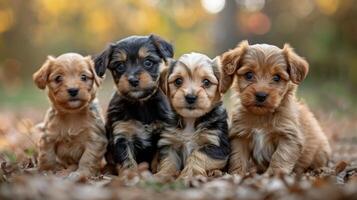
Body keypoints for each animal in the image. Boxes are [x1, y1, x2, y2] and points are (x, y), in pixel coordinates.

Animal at [94, 34, 173, 173]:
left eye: (148, 62)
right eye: (120, 66)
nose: (133, 80)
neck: (140, 103)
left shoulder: (163, 132)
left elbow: (158, 158)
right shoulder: (122, 135)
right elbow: (128, 161)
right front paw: (132, 175)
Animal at [220, 41, 330, 175]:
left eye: (277, 77)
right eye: (249, 75)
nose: (261, 95)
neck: (262, 116)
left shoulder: (289, 137)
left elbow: (280, 156)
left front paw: (274, 174)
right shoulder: (240, 135)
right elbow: (238, 156)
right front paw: (237, 174)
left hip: (321, 150)